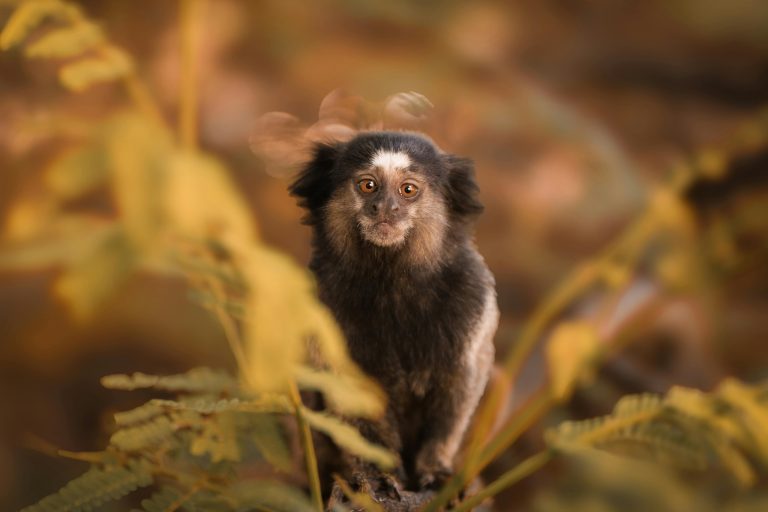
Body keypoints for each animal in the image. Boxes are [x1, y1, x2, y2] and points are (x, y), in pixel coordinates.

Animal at [289, 131, 498, 497]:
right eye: (368, 185)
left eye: (408, 190)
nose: (385, 208)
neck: (392, 283)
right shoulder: (323, 306)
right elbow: (351, 391)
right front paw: (381, 474)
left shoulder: (472, 303)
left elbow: (460, 387)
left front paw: (434, 469)